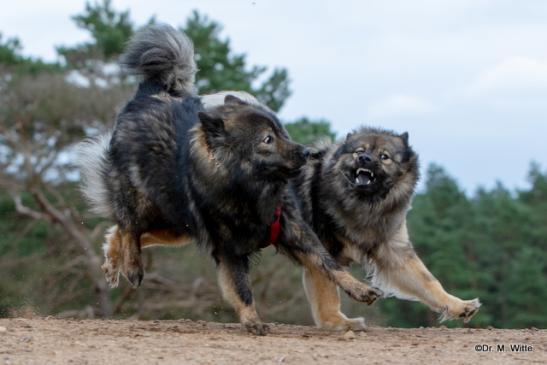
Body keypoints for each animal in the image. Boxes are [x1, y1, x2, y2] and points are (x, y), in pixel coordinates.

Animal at [77, 24, 384, 334]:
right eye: (267, 139)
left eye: (282, 132)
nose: (307, 152)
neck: (250, 192)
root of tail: (147, 96)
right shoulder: (228, 248)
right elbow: (242, 288)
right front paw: (252, 320)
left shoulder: (294, 229)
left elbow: (329, 264)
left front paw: (359, 289)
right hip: (143, 201)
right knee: (129, 226)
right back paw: (132, 266)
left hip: (179, 223)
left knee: (126, 231)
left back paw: (113, 259)